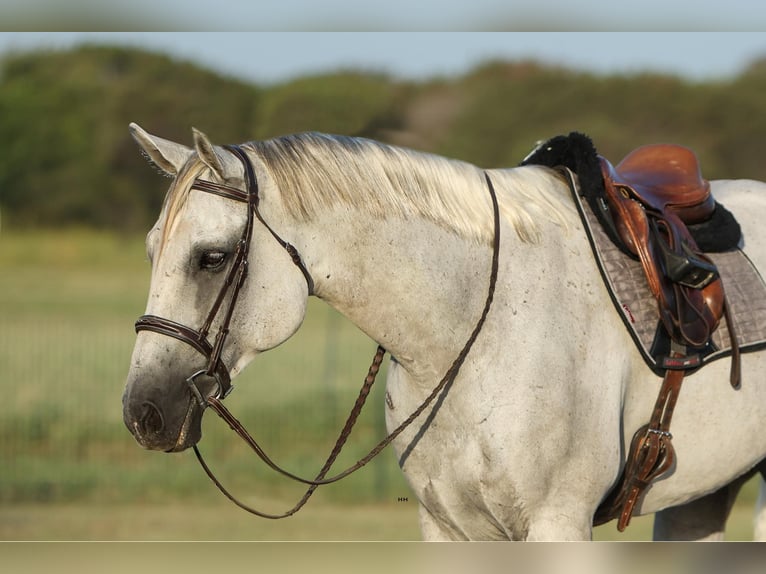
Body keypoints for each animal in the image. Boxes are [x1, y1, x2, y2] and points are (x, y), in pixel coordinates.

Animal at [122, 123, 766, 541]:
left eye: (211, 258)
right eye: (151, 252)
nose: (142, 412)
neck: (479, 332)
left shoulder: (558, 523)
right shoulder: (449, 527)